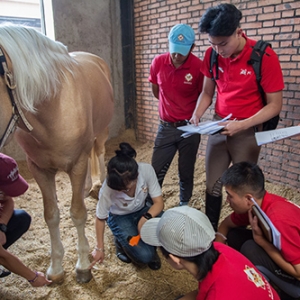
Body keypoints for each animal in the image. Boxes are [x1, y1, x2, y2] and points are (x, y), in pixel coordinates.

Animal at [0, 24, 114, 284]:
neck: (51, 106)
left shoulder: (77, 163)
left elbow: (78, 213)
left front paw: (83, 266)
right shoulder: (39, 169)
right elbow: (51, 215)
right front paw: (56, 269)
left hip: (101, 131)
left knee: (98, 152)